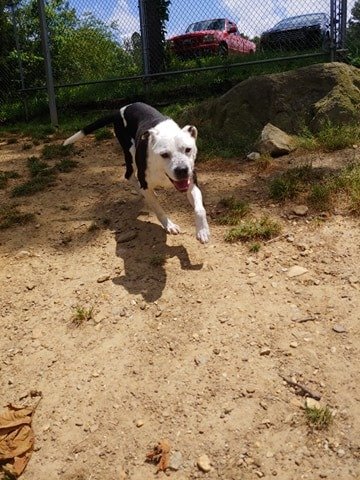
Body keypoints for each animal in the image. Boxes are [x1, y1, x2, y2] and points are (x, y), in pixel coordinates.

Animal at [64, 101, 210, 244]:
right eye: (164, 154)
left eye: (188, 149)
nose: (182, 170)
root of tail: (119, 110)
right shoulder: (145, 180)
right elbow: (158, 209)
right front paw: (169, 224)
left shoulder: (192, 183)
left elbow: (200, 209)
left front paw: (202, 231)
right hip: (130, 153)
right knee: (129, 176)